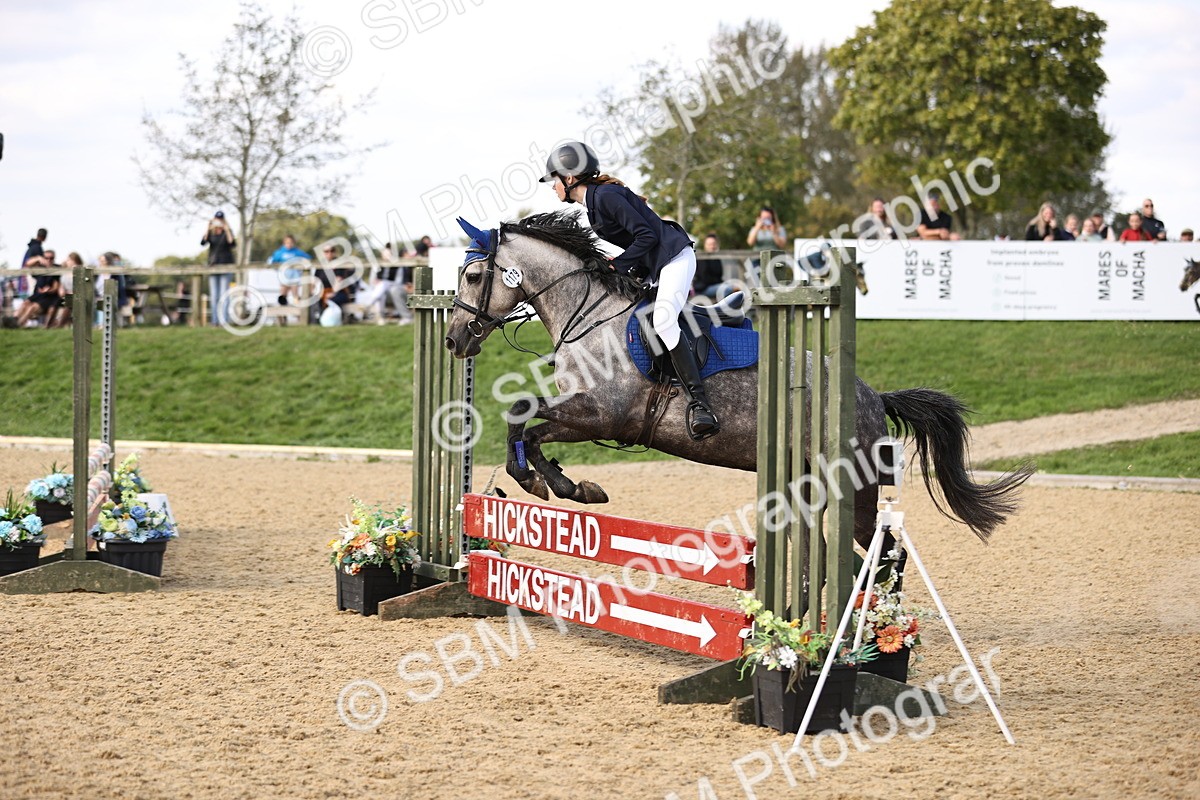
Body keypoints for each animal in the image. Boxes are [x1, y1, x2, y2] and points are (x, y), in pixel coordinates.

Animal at [444, 211, 1033, 552]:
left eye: (473, 275)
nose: (454, 341)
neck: (589, 315)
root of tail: (871, 395)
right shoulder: (581, 410)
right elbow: (523, 420)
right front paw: (553, 483)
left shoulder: (602, 414)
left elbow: (525, 417)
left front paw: (556, 484)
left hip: (857, 489)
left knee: (883, 556)